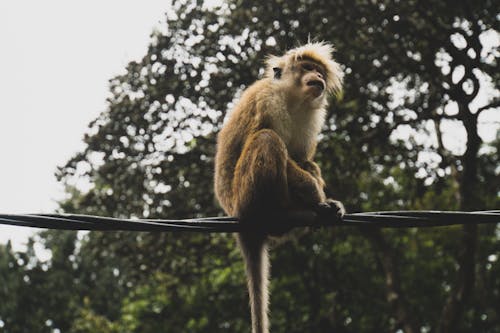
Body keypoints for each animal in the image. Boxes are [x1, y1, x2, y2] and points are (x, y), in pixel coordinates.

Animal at [213, 41, 346, 332]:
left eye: (319, 71)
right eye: (307, 67)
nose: (317, 76)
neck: (293, 101)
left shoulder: (311, 116)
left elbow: (301, 158)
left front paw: (326, 200)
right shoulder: (266, 99)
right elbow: (267, 139)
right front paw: (315, 193)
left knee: (304, 162)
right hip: (244, 197)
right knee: (267, 139)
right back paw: (279, 212)